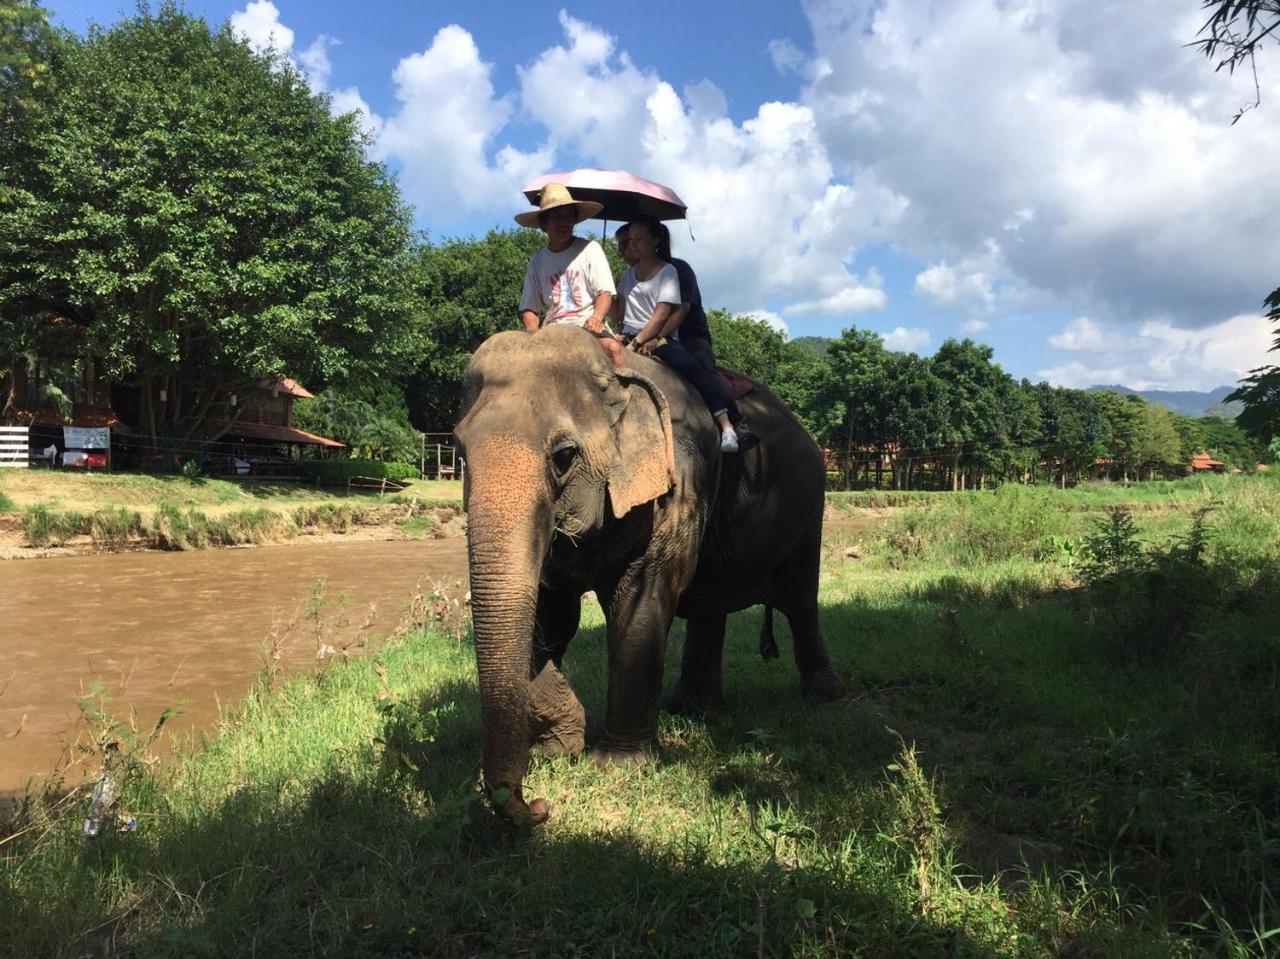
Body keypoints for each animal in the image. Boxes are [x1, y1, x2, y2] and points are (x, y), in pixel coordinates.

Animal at [455, 321, 844, 824]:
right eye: (459, 451)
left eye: (563, 456)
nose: (538, 805)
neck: (615, 371)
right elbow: (550, 614)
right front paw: (558, 749)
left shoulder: (679, 479)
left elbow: (641, 597)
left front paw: (617, 765)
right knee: (711, 606)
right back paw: (695, 710)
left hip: (809, 506)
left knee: (799, 600)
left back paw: (823, 696)